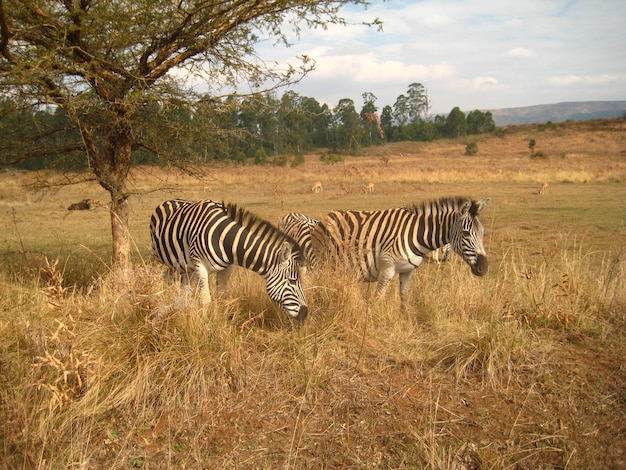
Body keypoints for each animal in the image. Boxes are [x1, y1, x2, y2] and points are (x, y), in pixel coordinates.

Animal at [150, 198, 308, 324]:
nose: (305, 314)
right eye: (292, 281)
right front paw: (206, 326)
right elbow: (205, 299)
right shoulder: (200, 265)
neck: (224, 238)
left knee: (184, 286)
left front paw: (220, 323)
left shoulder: (227, 267)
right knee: (165, 278)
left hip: (186, 268)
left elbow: (221, 297)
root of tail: (169, 200)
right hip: (163, 260)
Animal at [310, 196, 490, 302]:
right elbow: (378, 299)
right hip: (324, 263)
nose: (484, 267)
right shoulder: (387, 269)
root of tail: (326, 216)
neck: (417, 234)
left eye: (482, 232)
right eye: (466, 233)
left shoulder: (407, 270)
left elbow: (404, 298)